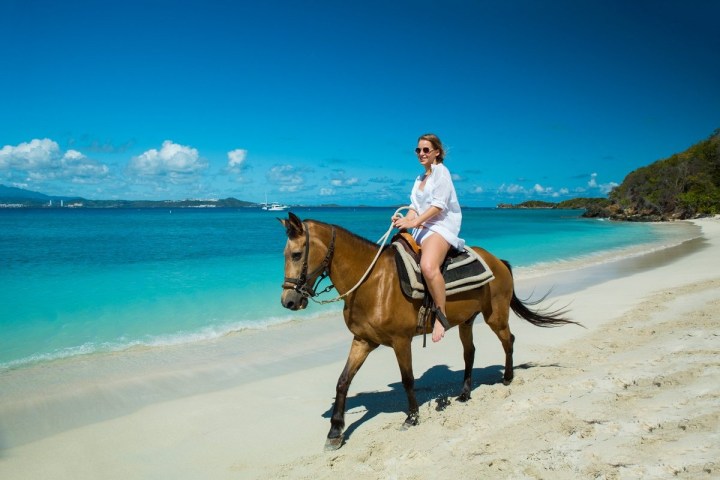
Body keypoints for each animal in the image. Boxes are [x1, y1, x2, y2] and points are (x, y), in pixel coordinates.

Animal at [279, 212, 576, 451]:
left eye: (296, 254)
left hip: (496, 317)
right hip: (466, 321)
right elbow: (343, 382)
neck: (372, 282)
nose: (288, 301)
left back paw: (507, 377)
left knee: (508, 340)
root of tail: (498, 261)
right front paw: (335, 431)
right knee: (470, 352)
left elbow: (408, 379)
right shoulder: (362, 341)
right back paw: (465, 393)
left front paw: (412, 417)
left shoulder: (401, 341)